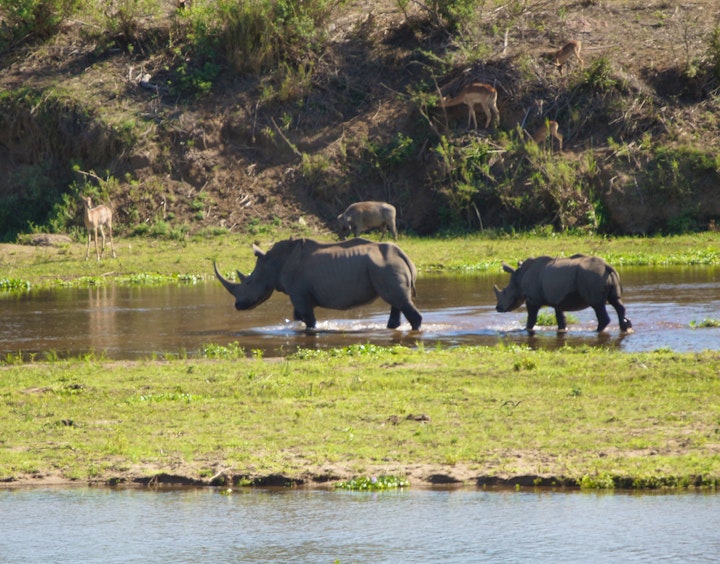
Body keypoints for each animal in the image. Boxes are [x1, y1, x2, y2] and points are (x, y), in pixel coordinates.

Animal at [214, 237, 422, 330]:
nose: (237, 305)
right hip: (386, 266)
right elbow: (298, 317)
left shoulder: (299, 294)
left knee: (400, 301)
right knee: (396, 301)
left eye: (248, 283)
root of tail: (404, 255)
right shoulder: (299, 295)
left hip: (385, 267)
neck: (272, 263)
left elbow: (308, 319)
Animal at [492, 254, 632, 332]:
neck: (519, 278)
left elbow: (531, 318)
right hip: (601, 276)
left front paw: (526, 329)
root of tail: (607, 266)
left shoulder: (532, 300)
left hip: (592, 276)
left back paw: (596, 331)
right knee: (616, 301)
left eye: (505, 292)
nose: (498, 308)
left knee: (598, 305)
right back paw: (626, 327)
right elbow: (561, 317)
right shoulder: (558, 299)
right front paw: (561, 330)